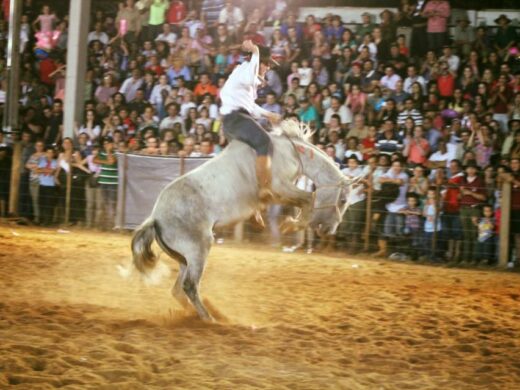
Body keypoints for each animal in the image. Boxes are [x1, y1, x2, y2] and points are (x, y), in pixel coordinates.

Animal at [130, 120, 358, 322]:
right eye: (343, 200)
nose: (329, 230)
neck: (289, 151)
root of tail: (156, 218)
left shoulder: (279, 194)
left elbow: (305, 200)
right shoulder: (280, 187)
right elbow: (309, 199)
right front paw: (291, 224)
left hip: (184, 258)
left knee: (179, 290)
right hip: (198, 248)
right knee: (189, 286)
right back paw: (210, 318)